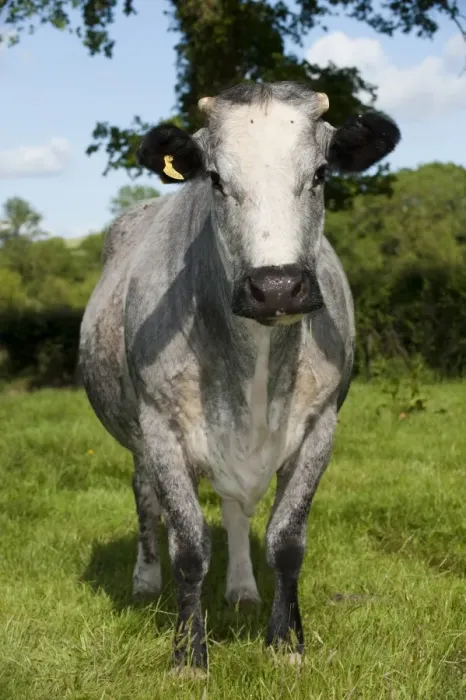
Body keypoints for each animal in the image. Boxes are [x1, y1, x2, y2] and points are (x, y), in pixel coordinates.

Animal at [79, 81, 400, 672]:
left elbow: (286, 541)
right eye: (215, 178)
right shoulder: (160, 426)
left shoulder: (321, 425)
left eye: (321, 172)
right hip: (137, 438)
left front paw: (286, 643)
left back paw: (243, 589)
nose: (276, 287)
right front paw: (188, 657)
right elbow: (188, 547)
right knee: (145, 496)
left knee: (233, 508)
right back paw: (145, 578)